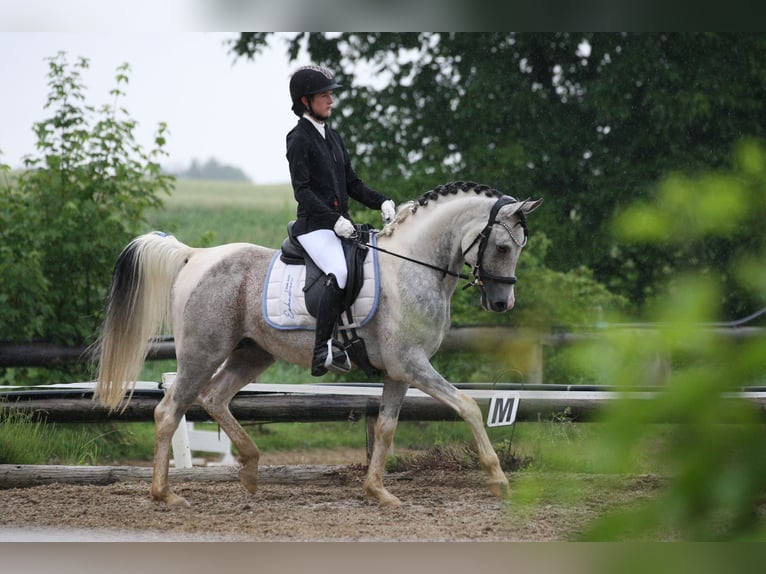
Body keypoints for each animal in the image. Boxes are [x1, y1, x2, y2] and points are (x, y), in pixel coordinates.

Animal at [93, 181, 542, 508]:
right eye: (503, 246)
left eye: (519, 247)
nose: (501, 303)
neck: (411, 267)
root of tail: (194, 256)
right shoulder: (413, 364)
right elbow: (467, 406)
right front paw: (498, 479)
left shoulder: (400, 371)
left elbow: (386, 427)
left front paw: (378, 491)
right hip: (202, 353)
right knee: (169, 411)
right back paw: (165, 494)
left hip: (251, 353)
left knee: (214, 397)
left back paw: (251, 470)